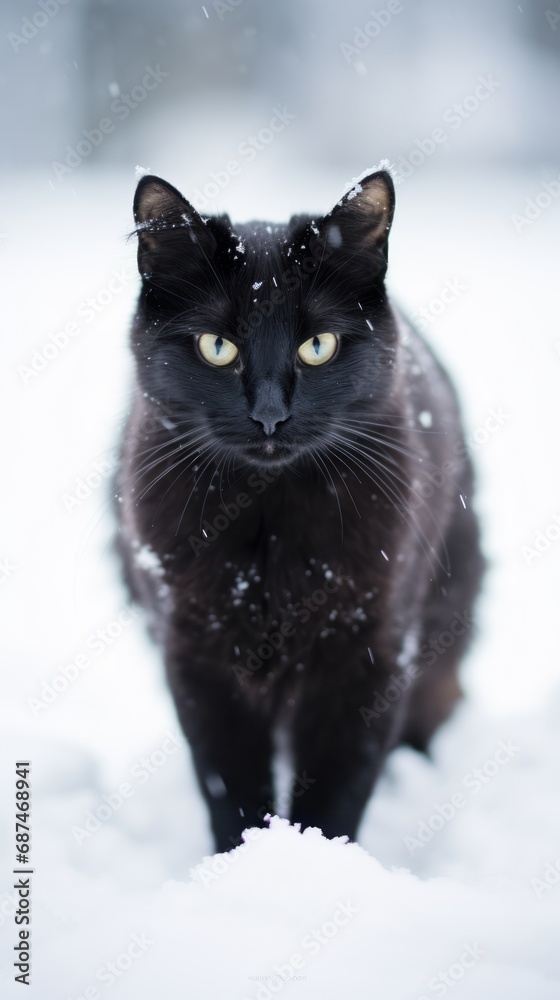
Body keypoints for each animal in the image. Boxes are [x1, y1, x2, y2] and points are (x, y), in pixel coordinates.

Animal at [116, 170, 484, 852]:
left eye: (319, 346)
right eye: (217, 346)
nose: (269, 415)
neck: (271, 522)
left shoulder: (368, 650)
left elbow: (340, 785)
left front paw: (317, 859)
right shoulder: (198, 653)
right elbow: (230, 786)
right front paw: (245, 864)